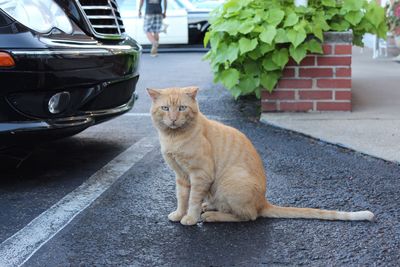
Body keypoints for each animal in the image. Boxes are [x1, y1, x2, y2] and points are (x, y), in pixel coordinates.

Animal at [148, 87, 376, 225]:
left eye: (182, 108)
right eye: (165, 108)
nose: (173, 119)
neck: (173, 137)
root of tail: (263, 201)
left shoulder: (200, 174)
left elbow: (193, 199)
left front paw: (190, 217)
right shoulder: (181, 176)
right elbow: (182, 197)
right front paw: (180, 213)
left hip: (230, 183)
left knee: (248, 216)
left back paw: (213, 215)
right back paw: (210, 206)